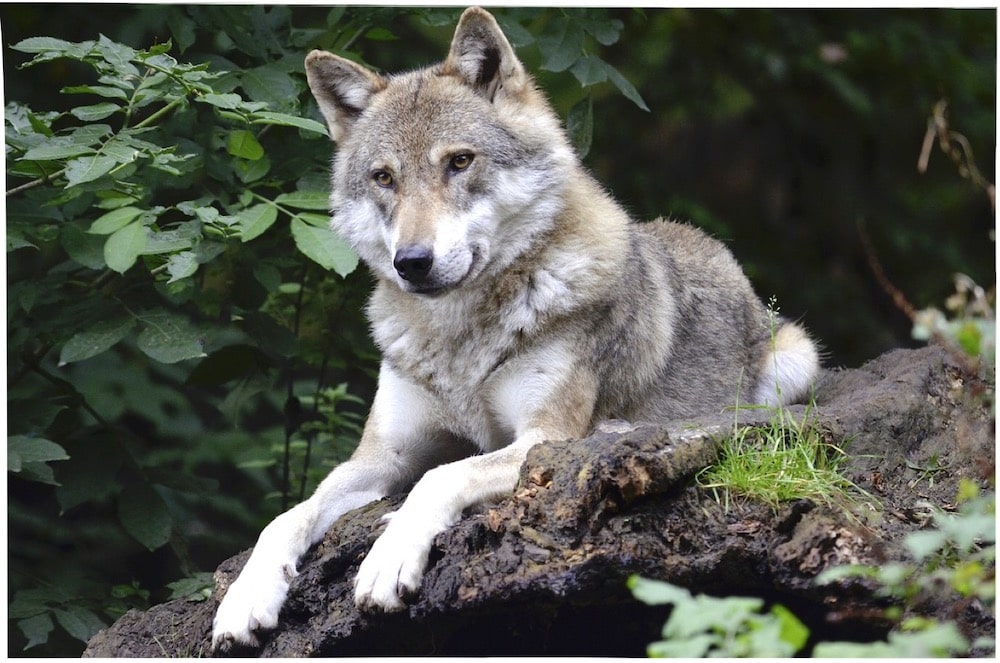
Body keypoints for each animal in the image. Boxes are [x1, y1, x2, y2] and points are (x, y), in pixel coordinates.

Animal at [213, 3, 820, 648]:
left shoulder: (541, 438)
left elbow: (441, 477)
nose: (412, 262)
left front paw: (388, 558)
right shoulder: (380, 457)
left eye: (459, 161)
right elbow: (286, 516)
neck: (459, 340)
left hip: (795, 361)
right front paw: (245, 598)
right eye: (383, 178)